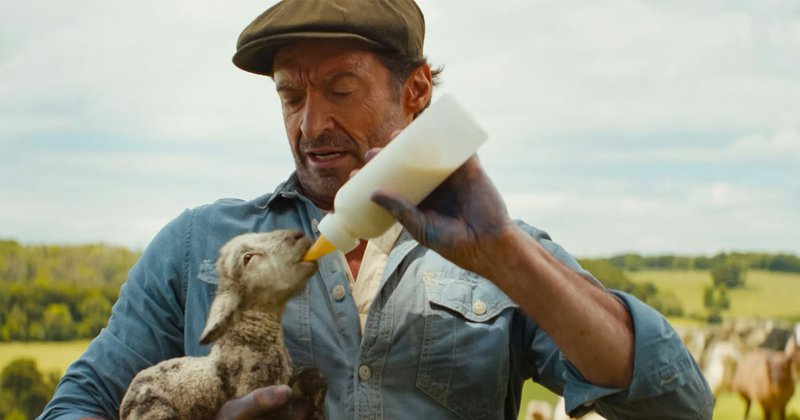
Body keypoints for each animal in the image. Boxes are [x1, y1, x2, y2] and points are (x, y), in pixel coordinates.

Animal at [119, 230, 326, 420]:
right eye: (248, 258)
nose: (299, 235)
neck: (253, 334)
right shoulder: (253, 390)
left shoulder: (288, 379)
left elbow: (316, 376)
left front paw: (318, 409)